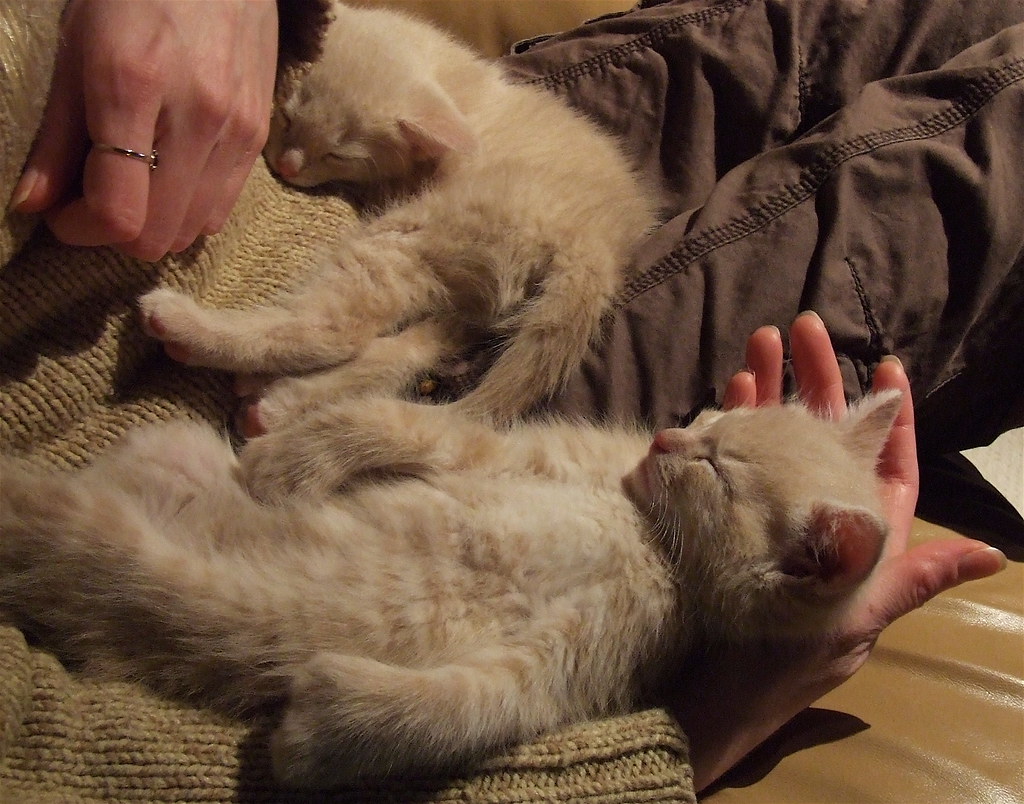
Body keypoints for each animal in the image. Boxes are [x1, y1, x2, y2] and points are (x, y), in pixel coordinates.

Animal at [0, 391, 897, 786]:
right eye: (710, 417)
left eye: (715, 466)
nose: (664, 435)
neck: (647, 535)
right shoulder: (505, 449)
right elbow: (395, 419)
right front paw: (287, 461)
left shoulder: (585, 656)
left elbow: (476, 704)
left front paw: (322, 723)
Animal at [136, 1, 659, 426]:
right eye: (286, 117)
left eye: (339, 155)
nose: (286, 166)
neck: (455, 77)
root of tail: (598, 244)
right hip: (474, 300)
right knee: (408, 346)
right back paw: (275, 400)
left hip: (413, 234)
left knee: (340, 330)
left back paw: (185, 329)